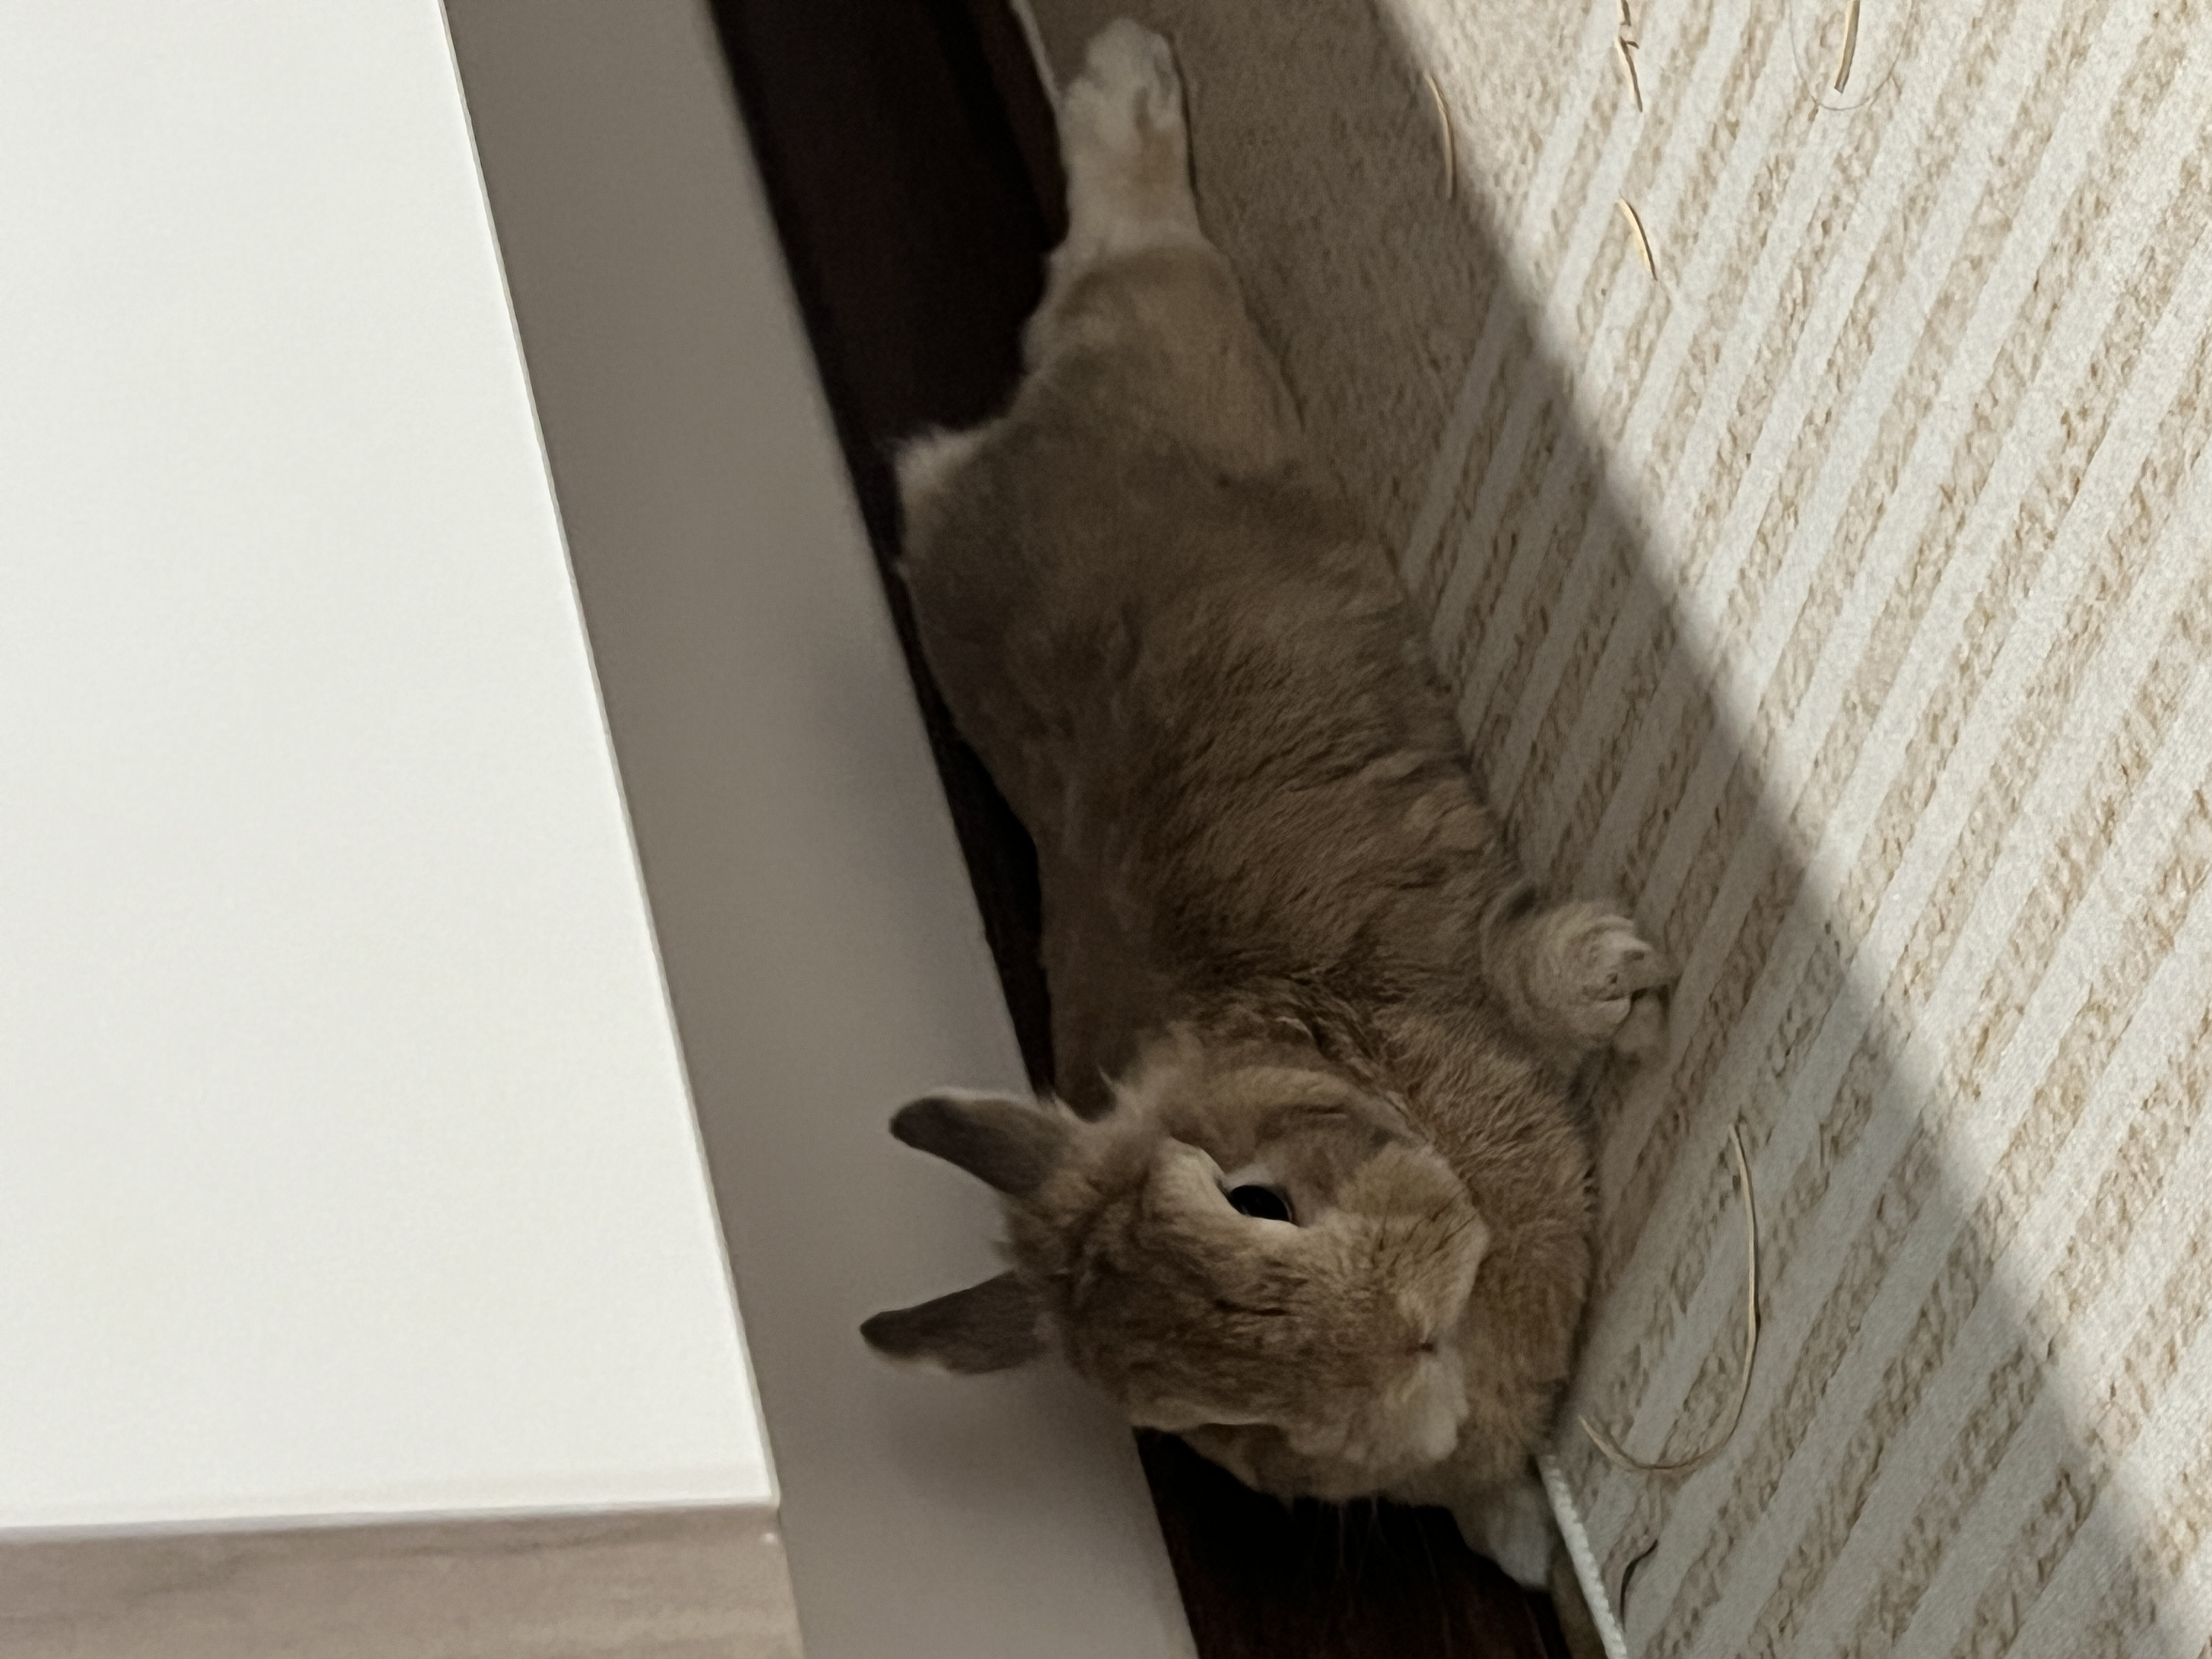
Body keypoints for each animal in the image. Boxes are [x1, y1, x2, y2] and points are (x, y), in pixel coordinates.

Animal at [860, 18, 1669, 1587]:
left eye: (1256, 1199)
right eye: (1208, 1417)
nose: (1403, 1347)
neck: (1317, 1051)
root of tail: (955, 476)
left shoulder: (1463, 971)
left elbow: (1530, 973)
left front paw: (1620, 976)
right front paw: (1518, 1539)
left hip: (1186, 333)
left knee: (1123, 241)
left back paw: (1123, 79)